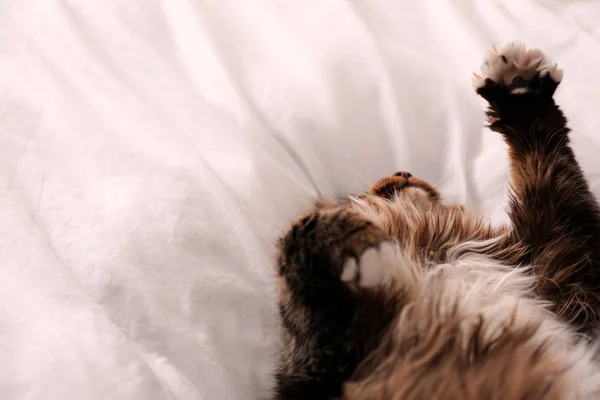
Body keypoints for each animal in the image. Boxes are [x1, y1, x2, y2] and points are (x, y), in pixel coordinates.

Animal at [274, 41, 600, 400]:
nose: (404, 171)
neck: (431, 248)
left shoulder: (562, 254)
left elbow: (545, 152)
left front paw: (518, 84)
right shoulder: (321, 368)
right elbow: (299, 234)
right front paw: (362, 252)